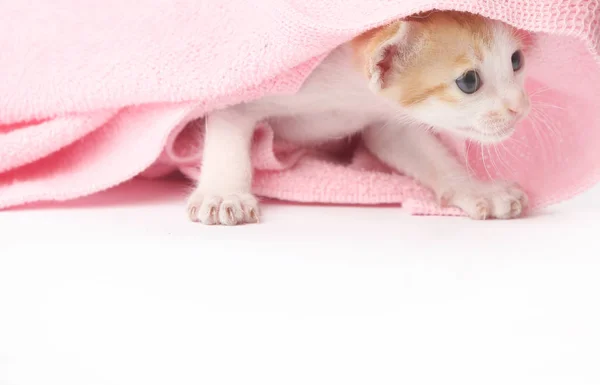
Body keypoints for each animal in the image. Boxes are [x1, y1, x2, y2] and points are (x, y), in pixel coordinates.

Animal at [186, 11, 528, 225]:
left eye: (516, 61)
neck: (347, 92)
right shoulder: (243, 85)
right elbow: (228, 125)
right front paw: (223, 195)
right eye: (469, 81)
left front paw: (477, 189)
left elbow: (424, 152)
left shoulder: (386, 119)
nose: (520, 106)